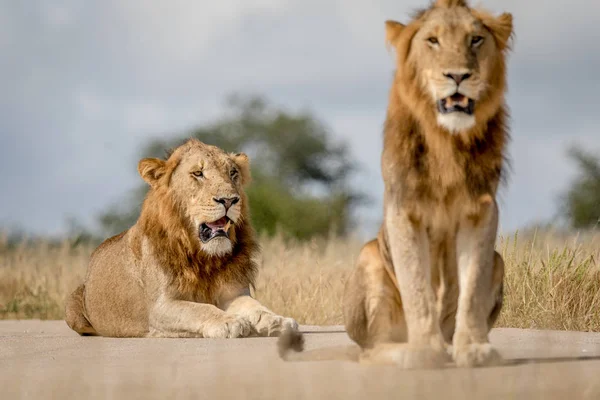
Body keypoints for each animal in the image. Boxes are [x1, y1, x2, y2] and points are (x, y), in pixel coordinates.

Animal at [65, 139, 298, 340]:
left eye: (233, 173)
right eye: (198, 173)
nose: (230, 200)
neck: (204, 257)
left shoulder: (233, 292)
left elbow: (256, 307)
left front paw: (277, 321)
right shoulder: (160, 307)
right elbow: (198, 309)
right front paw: (228, 321)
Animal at [278, 0, 512, 368]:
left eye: (475, 40)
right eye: (433, 41)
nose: (457, 76)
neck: (447, 139)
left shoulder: (481, 209)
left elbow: (472, 286)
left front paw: (474, 349)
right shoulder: (404, 210)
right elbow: (417, 284)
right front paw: (424, 351)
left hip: (499, 262)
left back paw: (450, 347)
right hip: (369, 256)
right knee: (369, 350)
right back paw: (407, 352)